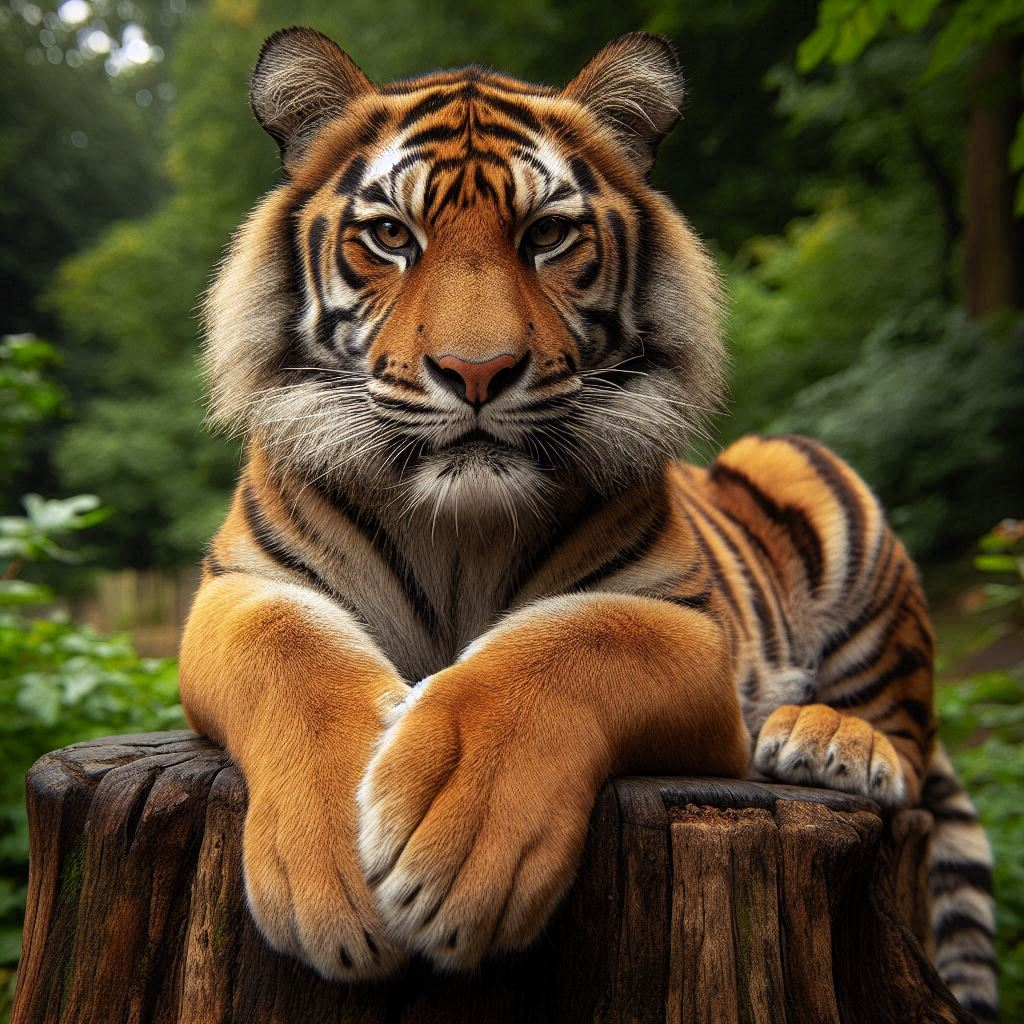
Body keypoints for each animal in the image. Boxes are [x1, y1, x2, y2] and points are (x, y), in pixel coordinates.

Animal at [179, 27, 997, 1020]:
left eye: (547, 235)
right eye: (391, 236)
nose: (478, 370)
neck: (459, 530)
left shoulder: (683, 621)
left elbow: (570, 644)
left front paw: (456, 839)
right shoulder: (243, 588)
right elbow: (292, 654)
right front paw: (337, 845)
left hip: (813, 485)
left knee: (910, 739)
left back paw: (828, 740)